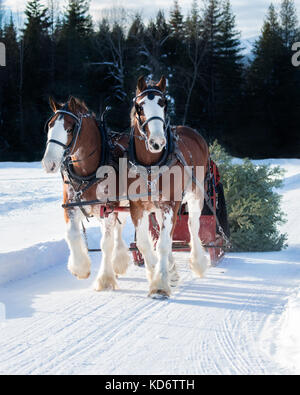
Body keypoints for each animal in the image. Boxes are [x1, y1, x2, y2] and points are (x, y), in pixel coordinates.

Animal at [129, 76, 211, 300]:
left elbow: (164, 244)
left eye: (163, 103)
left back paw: (198, 262)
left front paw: (160, 285)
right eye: (140, 106)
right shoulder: (137, 207)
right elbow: (145, 243)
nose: (157, 142)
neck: (150, 165)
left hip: (196, 194)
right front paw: (157, 275)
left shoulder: (170, 204)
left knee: (192, 225)